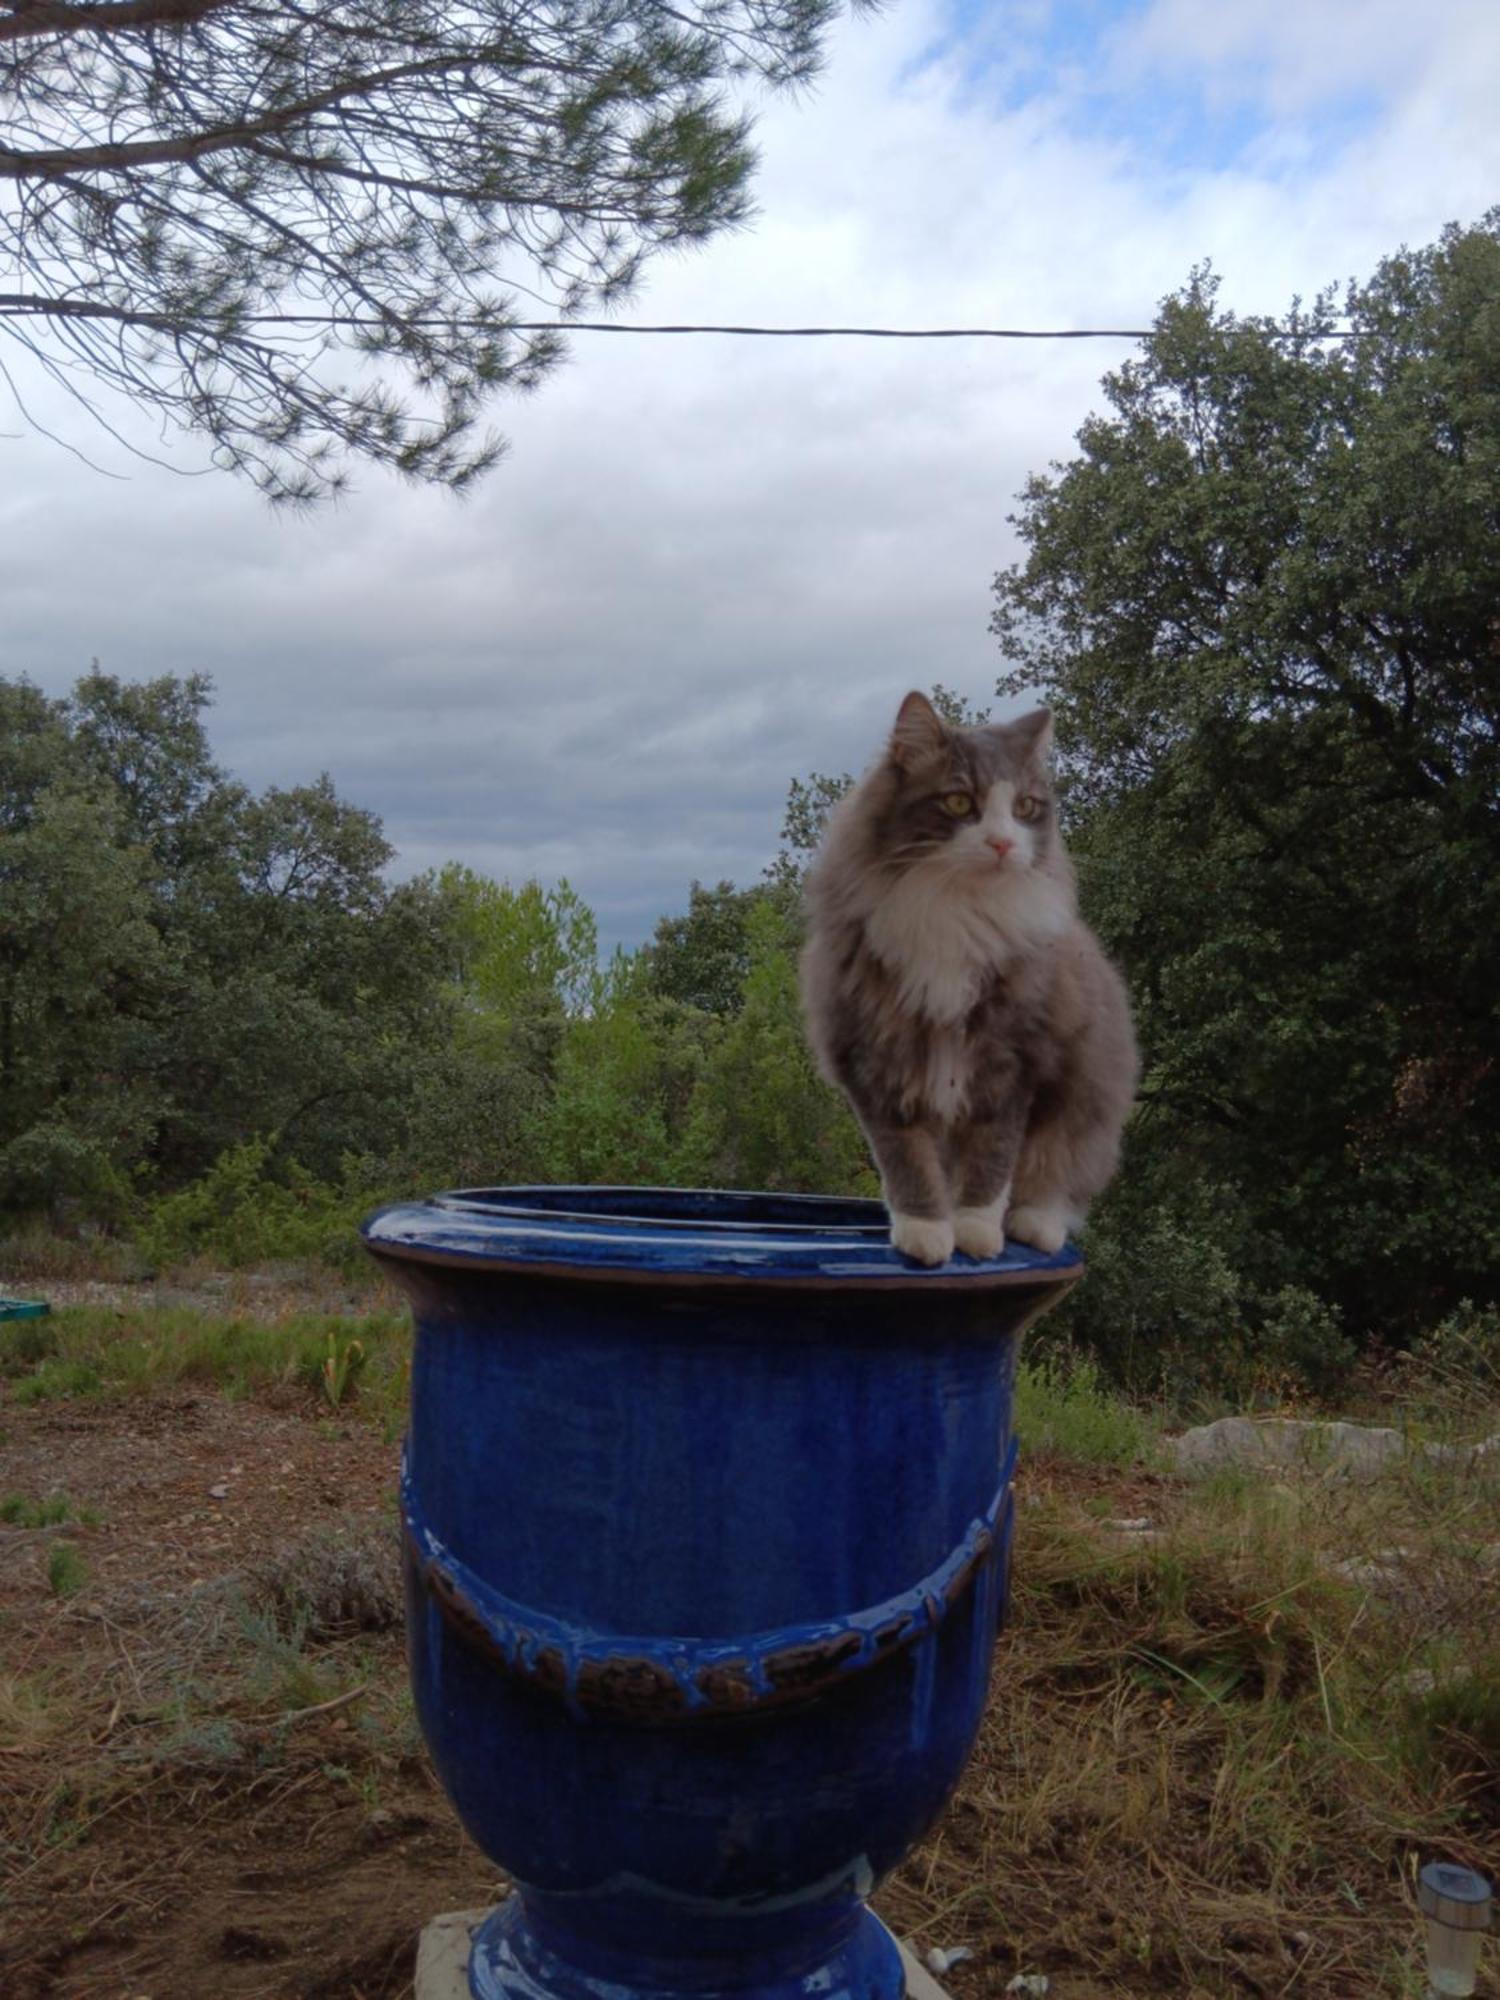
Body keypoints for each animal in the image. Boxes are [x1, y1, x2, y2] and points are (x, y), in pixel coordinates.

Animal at [804, 688, 1136, 1264]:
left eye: (1024, 808)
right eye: (960, 802)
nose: (1003, 844)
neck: (956, 913)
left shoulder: (1013, 1064)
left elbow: (991, 1161)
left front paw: (978, 1233)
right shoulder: (873, 1057)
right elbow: (907, 1161)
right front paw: (927, 1232)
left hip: (1087, 1099)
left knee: (1058, 1178)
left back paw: (1035, 1225)